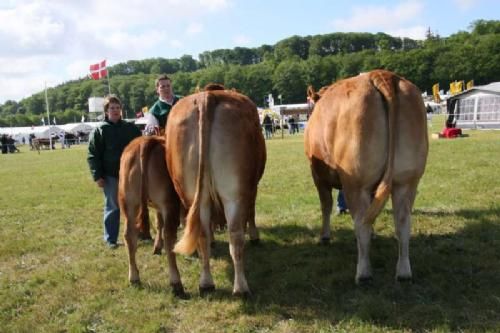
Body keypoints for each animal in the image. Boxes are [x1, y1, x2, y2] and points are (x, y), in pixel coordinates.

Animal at [118, 136, 185, 294]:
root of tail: (145, 141)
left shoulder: (157, 207)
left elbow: (159, 223)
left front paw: (157, 246)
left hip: (129, 203)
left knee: (129, 236)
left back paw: (134, 277)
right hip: (169, 203)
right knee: (169, 237)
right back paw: (176, 283)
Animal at [166, 89, 266, 296]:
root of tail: (207, 96)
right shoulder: (252, 189)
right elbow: (251, 214)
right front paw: (254, 236)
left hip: (193, 194)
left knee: (202, 235)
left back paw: (206, 284)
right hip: (234, 192)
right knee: (235, 235)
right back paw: (241, 288)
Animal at [304, 70, 430, 282]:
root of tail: (381, 74)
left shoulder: (318, 177)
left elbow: (326, 205)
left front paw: (325, 236)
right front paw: (374, 234)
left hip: (356, 183)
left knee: (361, 223)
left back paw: (363, 273)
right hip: (408, 181)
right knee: (403, 223)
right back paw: (404, 272)